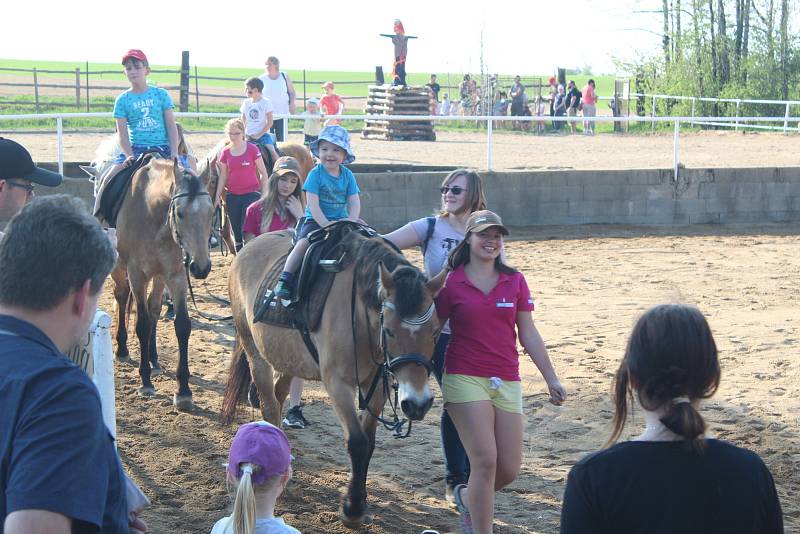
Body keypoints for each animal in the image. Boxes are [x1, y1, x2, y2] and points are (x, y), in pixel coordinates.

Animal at [111, 157, 216, 412]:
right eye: (180, 213)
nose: (201, 267)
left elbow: (182, 326)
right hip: (121, 269)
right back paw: (123, 349)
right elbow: (141, 324)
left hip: (159, 276)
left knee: (154, 309)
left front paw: (184, 391)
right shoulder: (136, 274)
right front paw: (145, 381)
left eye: (211, 213)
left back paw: (154, 358)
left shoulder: (176, 275)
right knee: (122, 297)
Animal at [222, 226, 444, 528]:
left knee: (278, 399)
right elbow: (358, 442)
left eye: (435, 332)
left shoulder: (377, 384)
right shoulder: (338, 384)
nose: (418, 404)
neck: (361, 315)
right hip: (255, 353)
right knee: (269, 404)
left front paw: (359, 500)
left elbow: (369, 441)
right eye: (389, 331)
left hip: (289, 360)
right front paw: (352, 508)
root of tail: (248, 248)